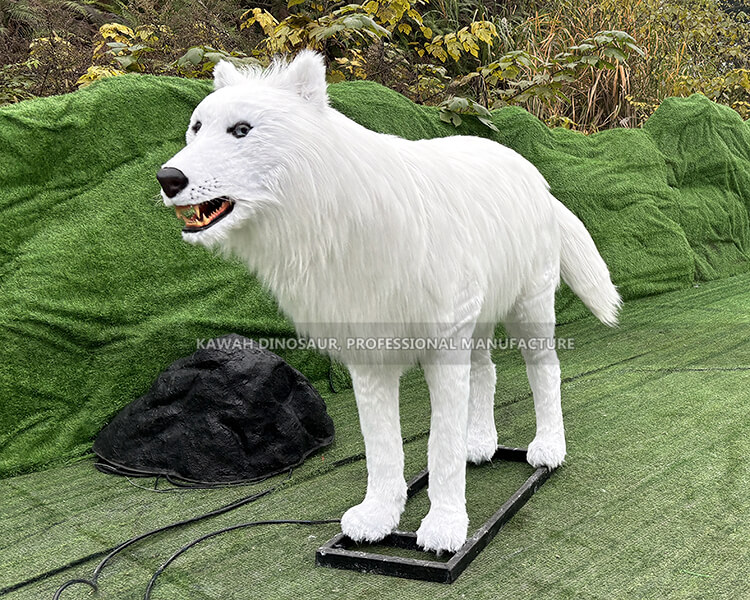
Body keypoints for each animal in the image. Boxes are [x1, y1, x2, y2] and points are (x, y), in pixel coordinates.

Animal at [157, 51, 621, 553]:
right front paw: (378, 517)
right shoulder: (369, 363)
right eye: (196, 127)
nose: (167, 178)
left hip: (529, 315)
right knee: (487, 373)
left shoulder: (441, 351)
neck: (334, 225)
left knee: (546, 373)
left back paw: (548, 450)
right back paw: (480, 445)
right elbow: (381, 449)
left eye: (241, 130)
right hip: (475, 328)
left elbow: (440, 448)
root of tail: (533, 174)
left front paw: (444, 527)